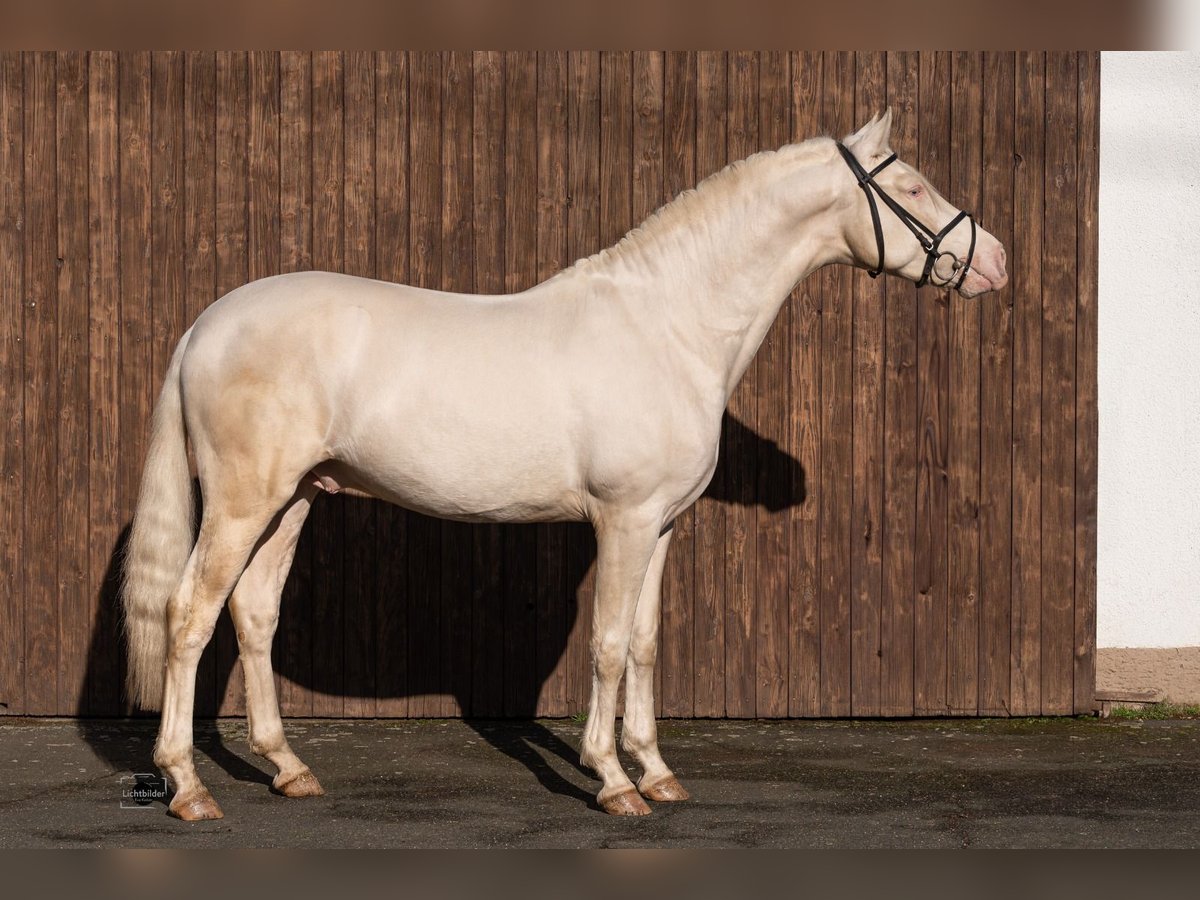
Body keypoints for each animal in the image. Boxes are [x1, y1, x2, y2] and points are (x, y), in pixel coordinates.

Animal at [121, 109, 1008, 820]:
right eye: (915, 187)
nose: (996, 261)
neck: (669, 325)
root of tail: (203, 326)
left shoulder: (662, 527)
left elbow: (645, 643)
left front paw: (658, 773)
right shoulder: (624, 519)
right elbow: (609, 643)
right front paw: (613, 782)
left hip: (296, 497)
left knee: (254, 614)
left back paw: (289, 769)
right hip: (242, 502)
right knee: (189, 616)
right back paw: (188, 788)